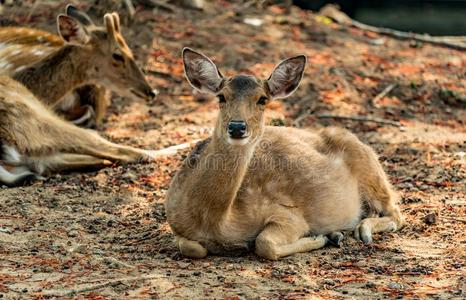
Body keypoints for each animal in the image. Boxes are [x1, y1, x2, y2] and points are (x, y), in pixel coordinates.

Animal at [165, 48, 404, 260]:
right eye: (221, 97)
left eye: (262, 99)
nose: (237, 127)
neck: (214, 223)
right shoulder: (176, 226)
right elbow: (192, 247)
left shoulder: (285, 212)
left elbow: (264, 243)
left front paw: (320, 237)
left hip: (368, 166)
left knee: (396, 213)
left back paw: (359, 231)